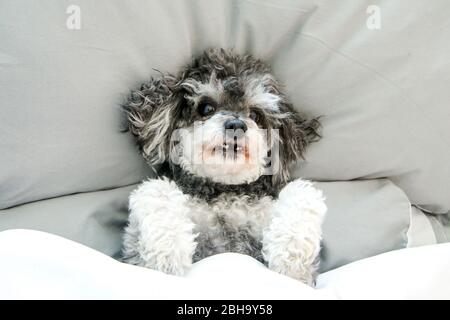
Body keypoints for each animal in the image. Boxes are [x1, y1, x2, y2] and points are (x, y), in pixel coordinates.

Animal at [121, 48, 326, 284]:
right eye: (206, 107)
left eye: (255, 115)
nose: (236, 125)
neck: (224, 191)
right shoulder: (134, 254)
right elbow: (156, 190)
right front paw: (168, 255)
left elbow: (302, 192)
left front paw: (290, 259)